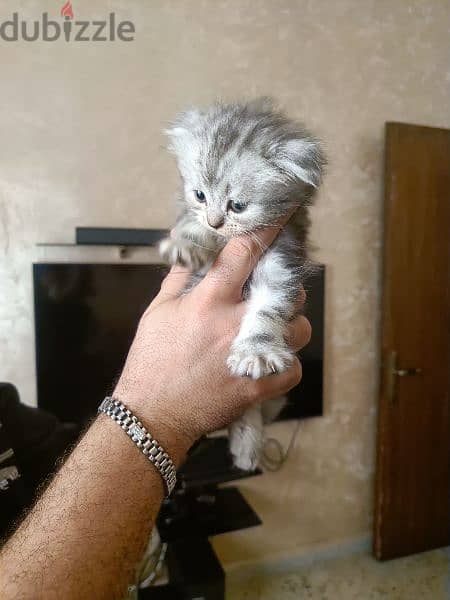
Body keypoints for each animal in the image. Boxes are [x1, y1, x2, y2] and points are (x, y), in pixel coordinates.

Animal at [160, 98, 326, 472]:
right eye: (200, 195)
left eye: (238, 205)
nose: (215, 222)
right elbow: (191, 230)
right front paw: (187, 243)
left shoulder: (281, 265)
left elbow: (267, 310)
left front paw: (256, 351)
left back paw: (248, 446)